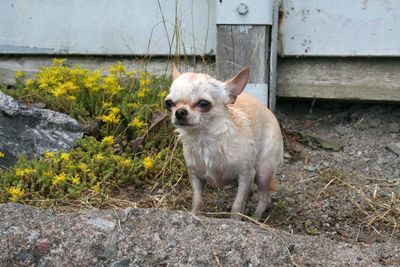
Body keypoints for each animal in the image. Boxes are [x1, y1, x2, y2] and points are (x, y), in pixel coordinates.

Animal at [166, 64, 284, 220]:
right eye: (168, 103)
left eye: (203, 103)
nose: (179, 112)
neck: (205, 141)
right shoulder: (195, 175)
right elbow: (198, 200)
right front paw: (194, 215)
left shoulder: (246, 175)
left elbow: (237, 205)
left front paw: (235, 220)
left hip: (263, 170)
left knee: (264, 197)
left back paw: (255, 218)